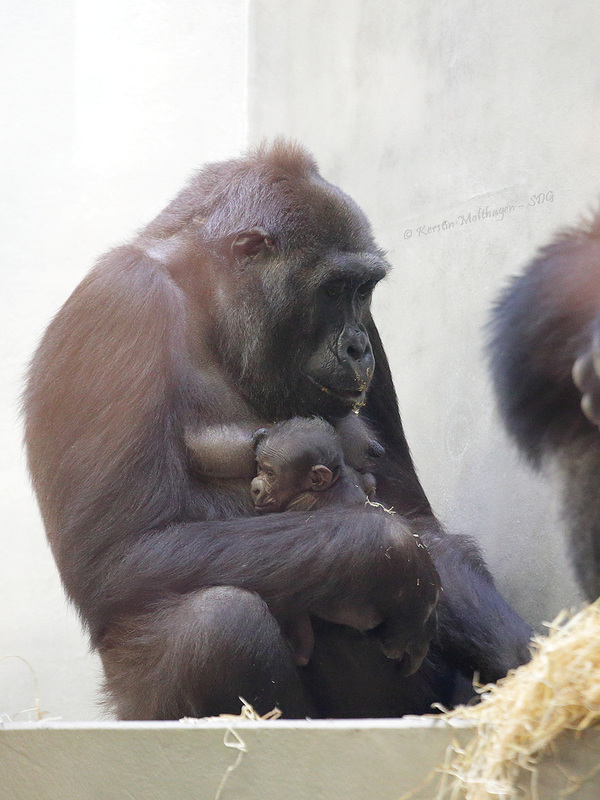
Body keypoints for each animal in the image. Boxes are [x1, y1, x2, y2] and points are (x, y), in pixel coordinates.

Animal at [23, 142, 528, 720]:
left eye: (362, 291)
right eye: (332, 290)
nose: (358, 347)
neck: (208, 304)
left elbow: (417, 519)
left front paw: (511, 649)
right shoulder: (120, 303)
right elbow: (122, 556)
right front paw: (388, 555)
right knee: (221, 623)